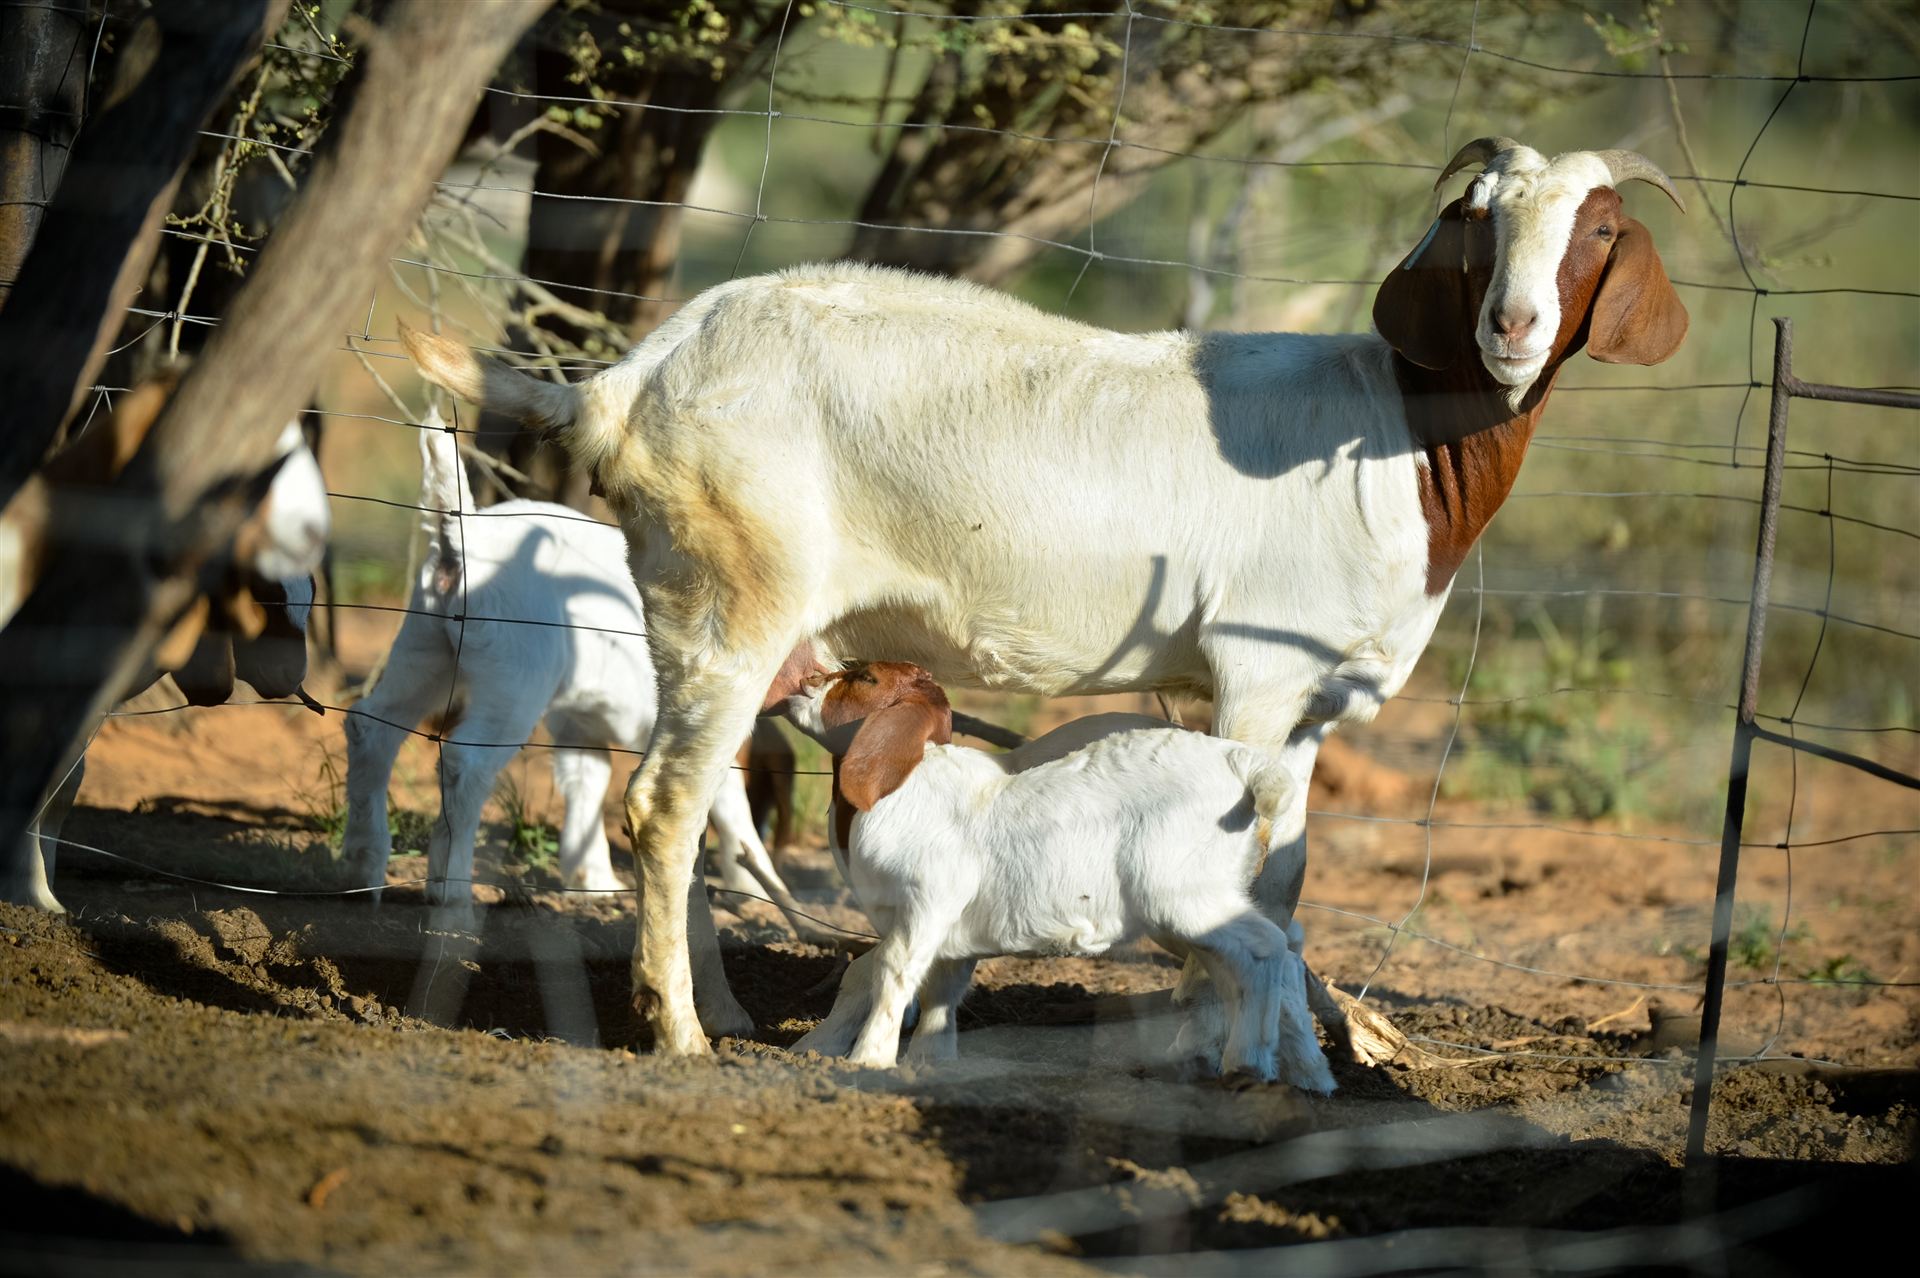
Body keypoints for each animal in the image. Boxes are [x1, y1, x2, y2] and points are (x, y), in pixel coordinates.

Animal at [340, 413, 809, 1030]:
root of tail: (461, 540)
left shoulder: (579, 724)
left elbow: (587, 781)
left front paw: (594, 882)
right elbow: (730, 812)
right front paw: (767, 893)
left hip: (423, 644)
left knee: (372, 727)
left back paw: (362, 870)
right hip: (515, 672)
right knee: (465, 762)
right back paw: (452, 895)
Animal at [401, 139, 1689, 1058]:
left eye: (1601, 231)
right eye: (1476, 221)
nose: (1512, 328)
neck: (1399, 440)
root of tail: (631, 380)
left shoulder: (1313, 704)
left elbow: (1285, 874)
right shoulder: (1255, 678)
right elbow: (1247, 867)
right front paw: (1208, 1034)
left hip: (709, 620)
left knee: (698, 803)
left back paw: (713, 1010)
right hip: (732, 597)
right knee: (664, 807)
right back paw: (676, 1036)